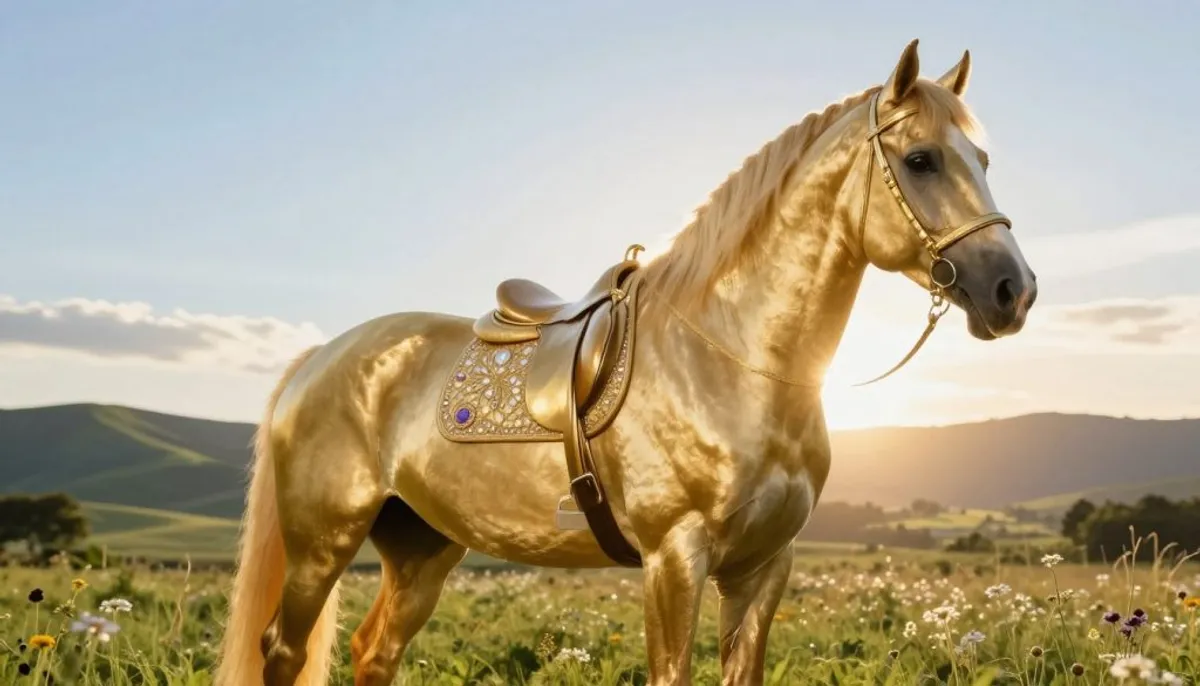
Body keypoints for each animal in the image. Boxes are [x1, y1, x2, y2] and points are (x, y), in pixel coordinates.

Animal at [215, 38, 1037, 686]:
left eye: (982, 159)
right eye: (921, 160)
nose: (1014, 291)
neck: (736, 359)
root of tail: (322, 357)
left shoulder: (764, 566)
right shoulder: (674, 557)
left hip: (421, 547)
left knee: (373, 651)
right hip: (322, 540)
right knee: (282, 651)